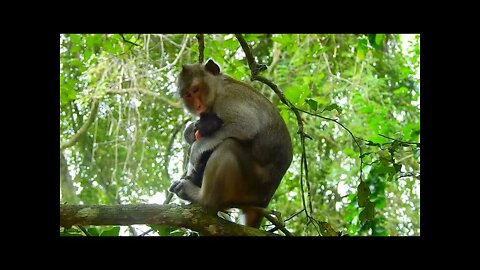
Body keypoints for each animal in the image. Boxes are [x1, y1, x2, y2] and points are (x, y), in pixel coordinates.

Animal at [169, 58, 292, 228]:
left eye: (196, 89)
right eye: (188, 95)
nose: (197, 106)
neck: (219, 88)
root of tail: (265, 200)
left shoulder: (227, 100)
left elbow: (246, 125)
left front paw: (195, 149)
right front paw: (191, 131)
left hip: (250, 187)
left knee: (228, 146)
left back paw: (203, 198)